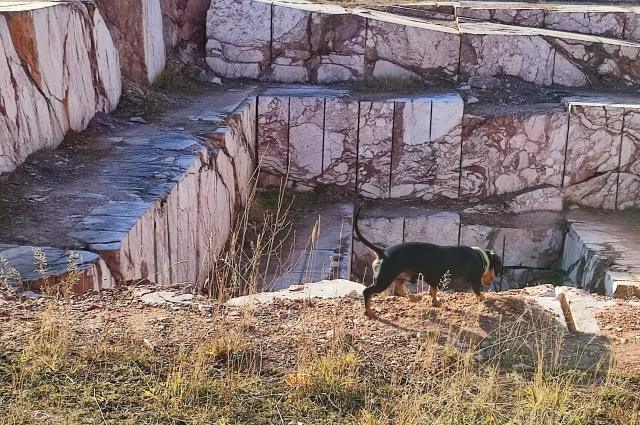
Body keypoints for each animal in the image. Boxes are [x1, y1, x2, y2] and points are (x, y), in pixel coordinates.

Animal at [352, 204, 502, 316]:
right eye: (494, 269)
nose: (490, 283)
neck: (480, 256)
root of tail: (383, 253)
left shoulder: (433, 279)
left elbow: (432, 292)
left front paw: (435, 302)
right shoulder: (475, 281)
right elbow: (479, 294)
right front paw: (483, 299)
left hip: (401, 276)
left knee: (398, 291)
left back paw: (415, 298)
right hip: (384, 279)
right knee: (368, 292)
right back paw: (369, 312)